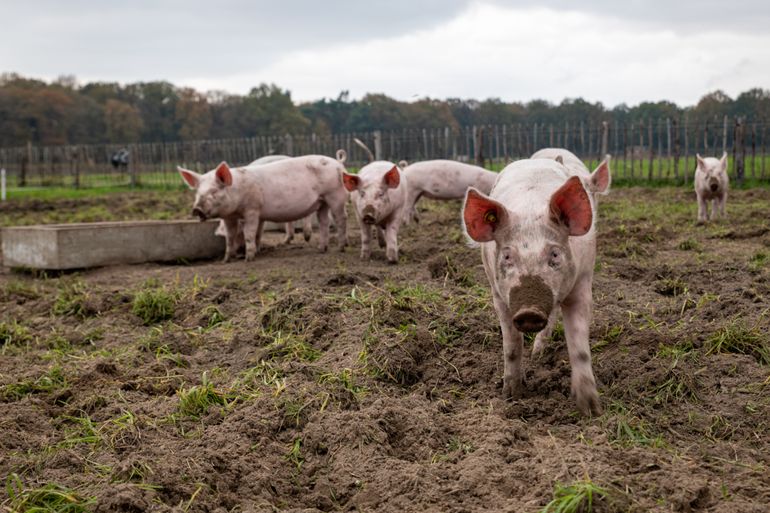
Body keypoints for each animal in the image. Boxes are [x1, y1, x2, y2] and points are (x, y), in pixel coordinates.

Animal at [178, 154, 346, 262]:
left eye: (214, 191)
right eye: (197, 192)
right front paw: (226, 260)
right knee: (324, 222)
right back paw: (321, 249)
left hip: (335, 195)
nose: (196, 209)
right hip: (322, 202)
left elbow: (249, 234)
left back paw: (341, 248)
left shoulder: (252, 209)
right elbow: (232, 236)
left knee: (341, 219)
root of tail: (338, 164)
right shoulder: (230, 216)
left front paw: (249, 258)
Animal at [462, 157, 608, 416]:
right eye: (507, 256)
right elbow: (511, 345)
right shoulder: (498, 294)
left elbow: (579, 347)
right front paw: (511, 396)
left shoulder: (582, 284)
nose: (530, 311)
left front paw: (590, 410)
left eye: (555, 254)